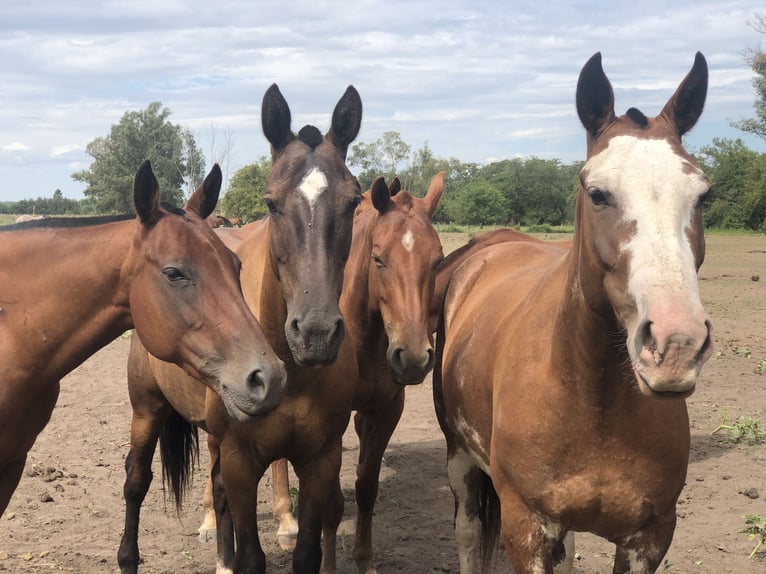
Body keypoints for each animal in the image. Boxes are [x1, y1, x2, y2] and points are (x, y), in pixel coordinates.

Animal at [116, 84, 364, 574]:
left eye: (353, 202)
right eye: (271, 203)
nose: (315, 334)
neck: (292, 370)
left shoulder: (321, 459)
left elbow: (306, 553)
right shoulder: (239, 460)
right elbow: (250, 553)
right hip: (147, 410)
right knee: (139, 481)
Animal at [436, 51, 716, 572]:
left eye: (702, 194)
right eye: (598, 193)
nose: (675, 345)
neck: (593, 399)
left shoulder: (650, 538)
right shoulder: (525, 528)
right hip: (461, 460)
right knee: (467, 534)